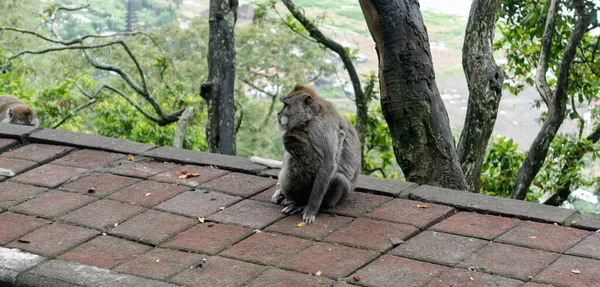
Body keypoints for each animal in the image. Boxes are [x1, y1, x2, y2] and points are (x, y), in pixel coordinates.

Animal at [272, 84, 360, 224]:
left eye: (286, 105)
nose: (278, 113)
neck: (311, 116)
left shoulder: (320, 129)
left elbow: (328, 164)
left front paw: (310, 209)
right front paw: (281, 192)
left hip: (343, 193)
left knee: (337, 178)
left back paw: (302, 203)